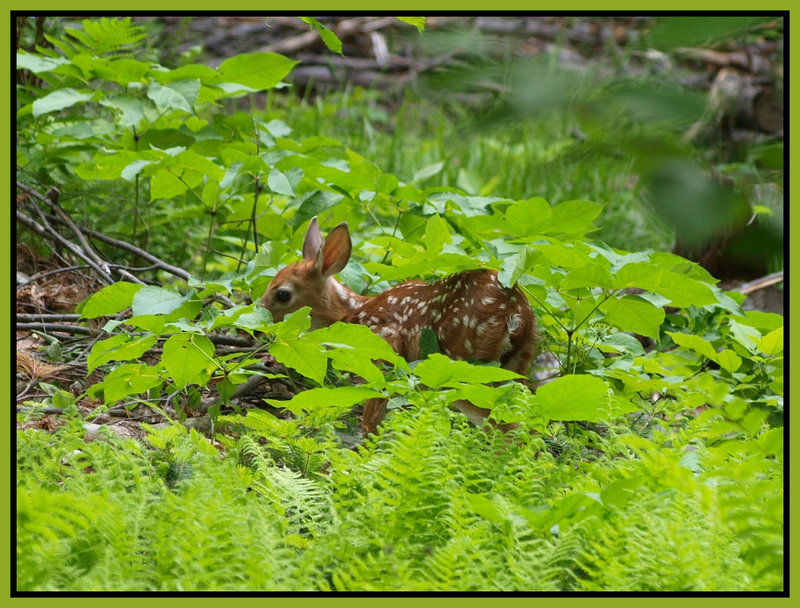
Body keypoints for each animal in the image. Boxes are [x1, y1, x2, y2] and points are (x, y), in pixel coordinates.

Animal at [262, 216, 536, 434]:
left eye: (283, 294)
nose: (259, 314)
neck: (353, 315)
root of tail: (516, 313)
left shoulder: (384, 358)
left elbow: (370, 424)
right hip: (516, 365)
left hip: (467, 366)